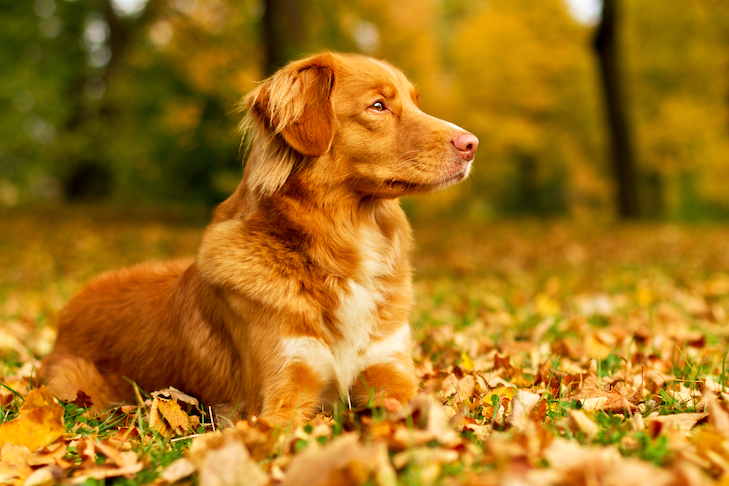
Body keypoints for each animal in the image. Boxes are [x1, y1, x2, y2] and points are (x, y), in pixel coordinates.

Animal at [42, 53, 480, 426]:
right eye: (377, 106)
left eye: (416, 102)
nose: (471, 144)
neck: (345, 246)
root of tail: (69, 309)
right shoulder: (283, 390)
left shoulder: (388, 370)